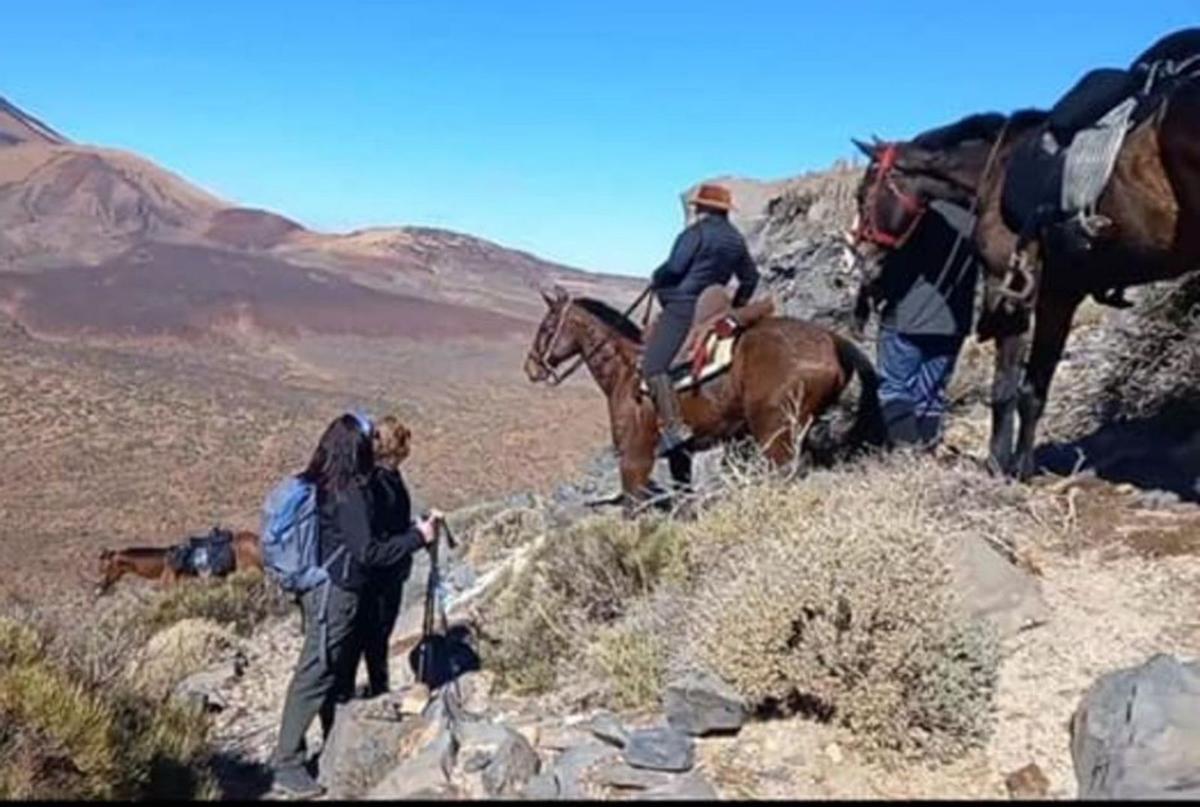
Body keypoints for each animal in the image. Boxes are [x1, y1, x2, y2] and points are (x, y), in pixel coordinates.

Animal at [523, 287, 883, 506]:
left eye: (546, 328)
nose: (531, 368)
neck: (625, 372)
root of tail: (832, 340)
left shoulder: (634, 459)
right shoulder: (679, 455)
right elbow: (684, 500)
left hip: (774, 432)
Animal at [849, 55, 1200, 480]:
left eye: (863, 194)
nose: (863, 256)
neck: (995, 170)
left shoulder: (1008, 288)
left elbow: (1003, 388)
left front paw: (997, 464)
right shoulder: (1057, 296)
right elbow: (1034, 390)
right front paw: (1022, 467)